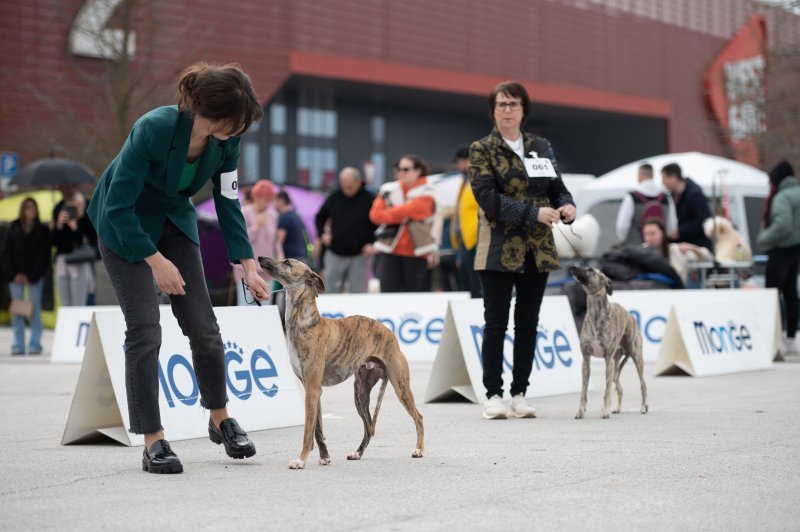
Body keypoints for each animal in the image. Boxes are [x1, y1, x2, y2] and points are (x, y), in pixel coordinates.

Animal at [258, 258, 424, 470]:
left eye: (287, 262)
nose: (261, 259)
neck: (305, 324)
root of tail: (391, 334)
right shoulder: (313, 389)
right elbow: (318, 429)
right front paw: (324, 456)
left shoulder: (312, 389)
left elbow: (307, 431)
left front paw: (301, 460)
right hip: (360, 393)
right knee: (368, 427)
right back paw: (358, 453)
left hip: (400, 386)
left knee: (418, 417)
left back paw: (419, 449)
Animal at [568, 266, 648, 420]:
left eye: (591, 270)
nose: (572, 267)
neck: (595, 315)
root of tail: (631, 317)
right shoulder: (586, 361)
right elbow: (583, 393)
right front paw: (580, 411)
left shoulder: (607, 359)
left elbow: (606, 392)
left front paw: (605, 410)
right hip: (615, 368)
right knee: (620, 388)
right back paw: (617, 408)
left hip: (636, 358)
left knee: (643, 384)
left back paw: (643, 407)